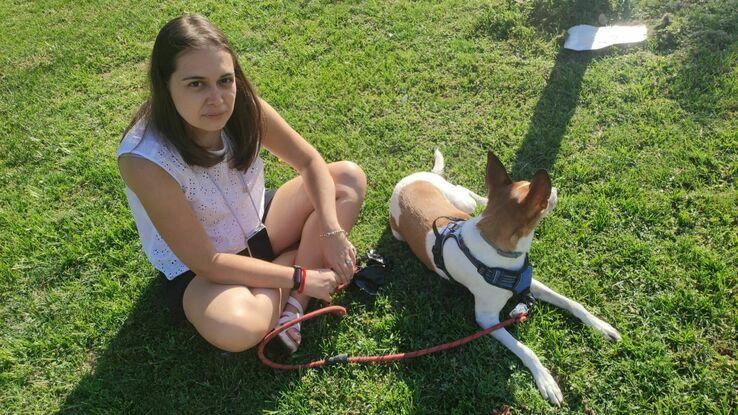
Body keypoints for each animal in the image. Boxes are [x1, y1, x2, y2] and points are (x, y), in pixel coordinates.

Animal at [388, 150, 620, 406]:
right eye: (548, 194)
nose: (558, 188)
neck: (494, 247)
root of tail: (412, 177)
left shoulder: (528, 281)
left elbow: (572, 303)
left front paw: (600, 326)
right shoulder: (487, 320)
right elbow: (526, 350)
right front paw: (545, 380)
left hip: (460, 201)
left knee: (469, 194)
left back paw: (482, 201)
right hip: (400, 232)